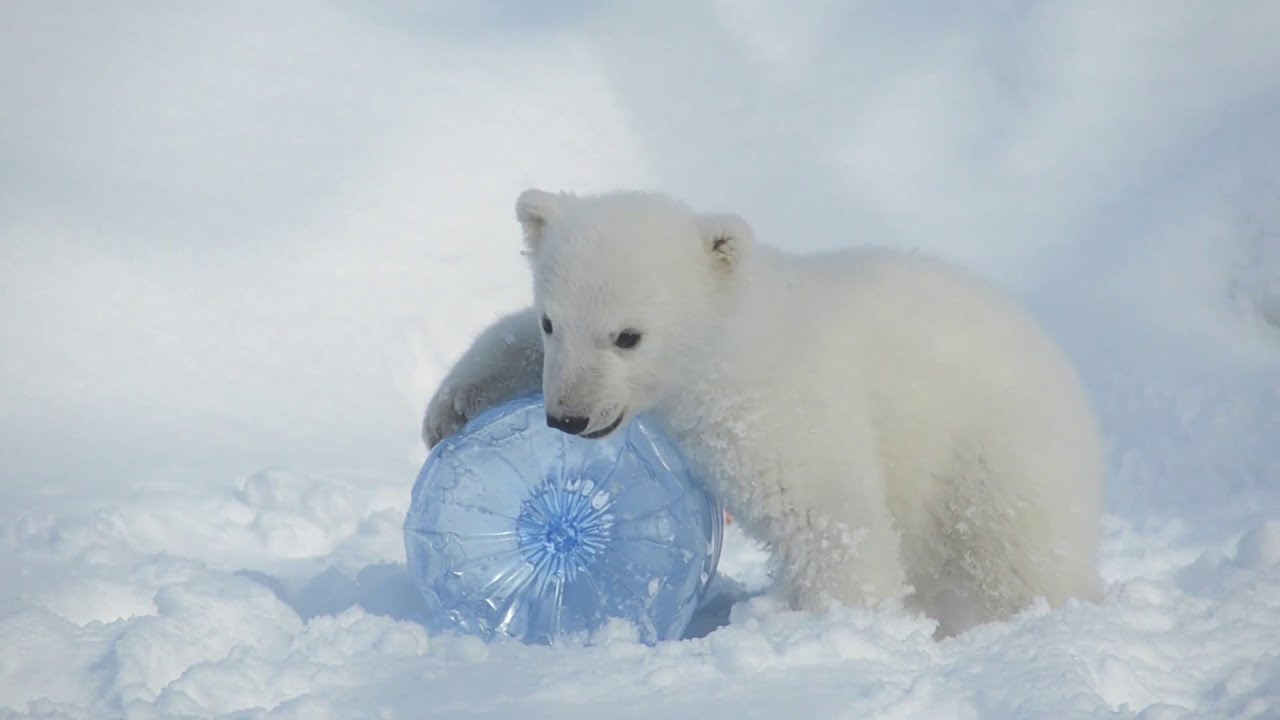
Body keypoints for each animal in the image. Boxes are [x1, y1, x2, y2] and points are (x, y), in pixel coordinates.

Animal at [423, 189, 1105, 637]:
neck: (727, 338)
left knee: (1014, 555)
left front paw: (839, 626)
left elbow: (826, 513)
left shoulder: (772, 404)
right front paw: (450, 408)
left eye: (628, 336)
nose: (568, 417)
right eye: (552, 322)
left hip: (993, 451)